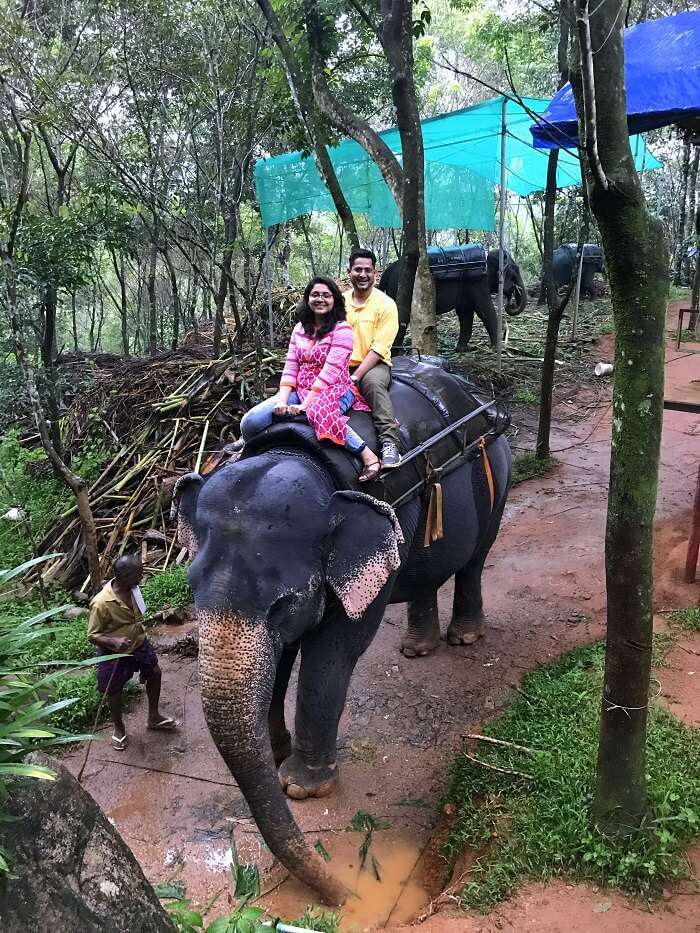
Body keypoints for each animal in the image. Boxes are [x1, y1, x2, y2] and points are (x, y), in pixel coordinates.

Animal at [172, 356, 512, 904]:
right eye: (191, 589)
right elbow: (284, 657)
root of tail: (478, 391)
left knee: (476, 557)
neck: (302, 456)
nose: (344, 897)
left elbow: (335, 651)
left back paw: (464, 636)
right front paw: (277, 752)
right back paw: (417, 648)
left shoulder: (381, 522)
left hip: (498, 470)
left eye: (283, 604)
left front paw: (301, 787)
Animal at [380, 246, 528, 352]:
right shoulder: (477, 283)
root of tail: (388, 270)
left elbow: (465, 313)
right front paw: (499, 349)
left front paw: (464, 349)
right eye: (514, 273)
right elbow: (485, 310)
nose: (510, 303)